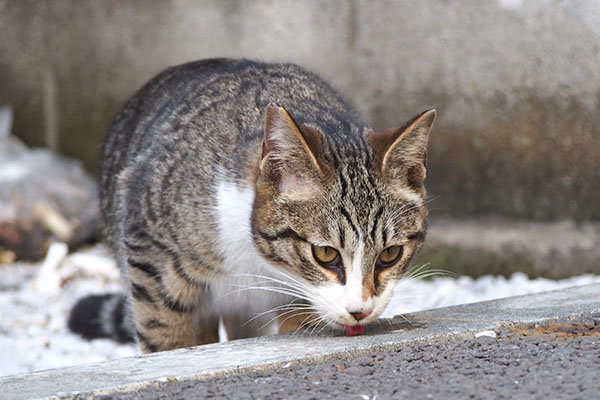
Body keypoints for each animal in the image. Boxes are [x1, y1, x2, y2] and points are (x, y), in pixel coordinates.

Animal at [69, 57, 436, 352]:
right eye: (325, 253)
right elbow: (163, 331)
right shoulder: (150, 248)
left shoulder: (298, 297)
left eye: (390, 254)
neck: (255, 260)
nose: (360, 310)